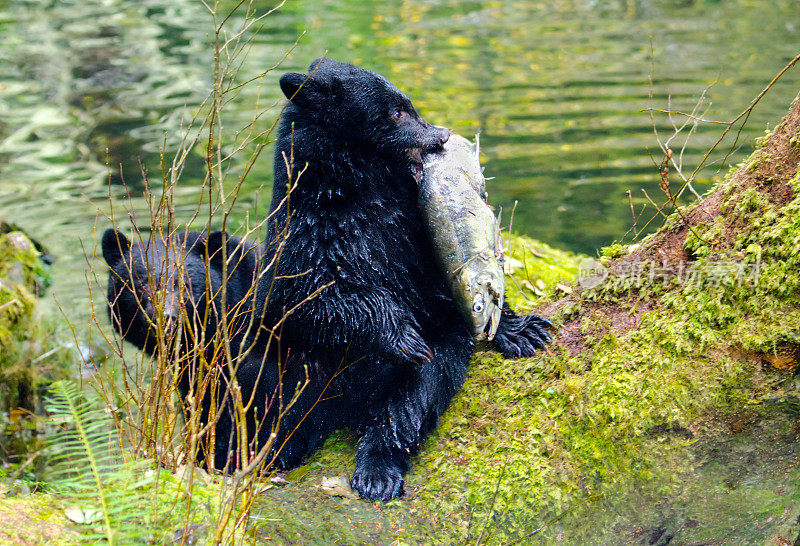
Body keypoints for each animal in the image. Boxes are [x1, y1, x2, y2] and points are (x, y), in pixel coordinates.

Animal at [248, 58, 552, 498]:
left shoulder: (408, 228)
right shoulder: (310, 235)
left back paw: (378, 470)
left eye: (409, 104)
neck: (359, 191)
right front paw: (399, 333)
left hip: (431, 355)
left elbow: (442, 283)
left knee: (414, 396)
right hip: (281, 363)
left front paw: (520, 329)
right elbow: (309, 297)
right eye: (395, 111)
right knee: (264, 403)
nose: (441, 136)